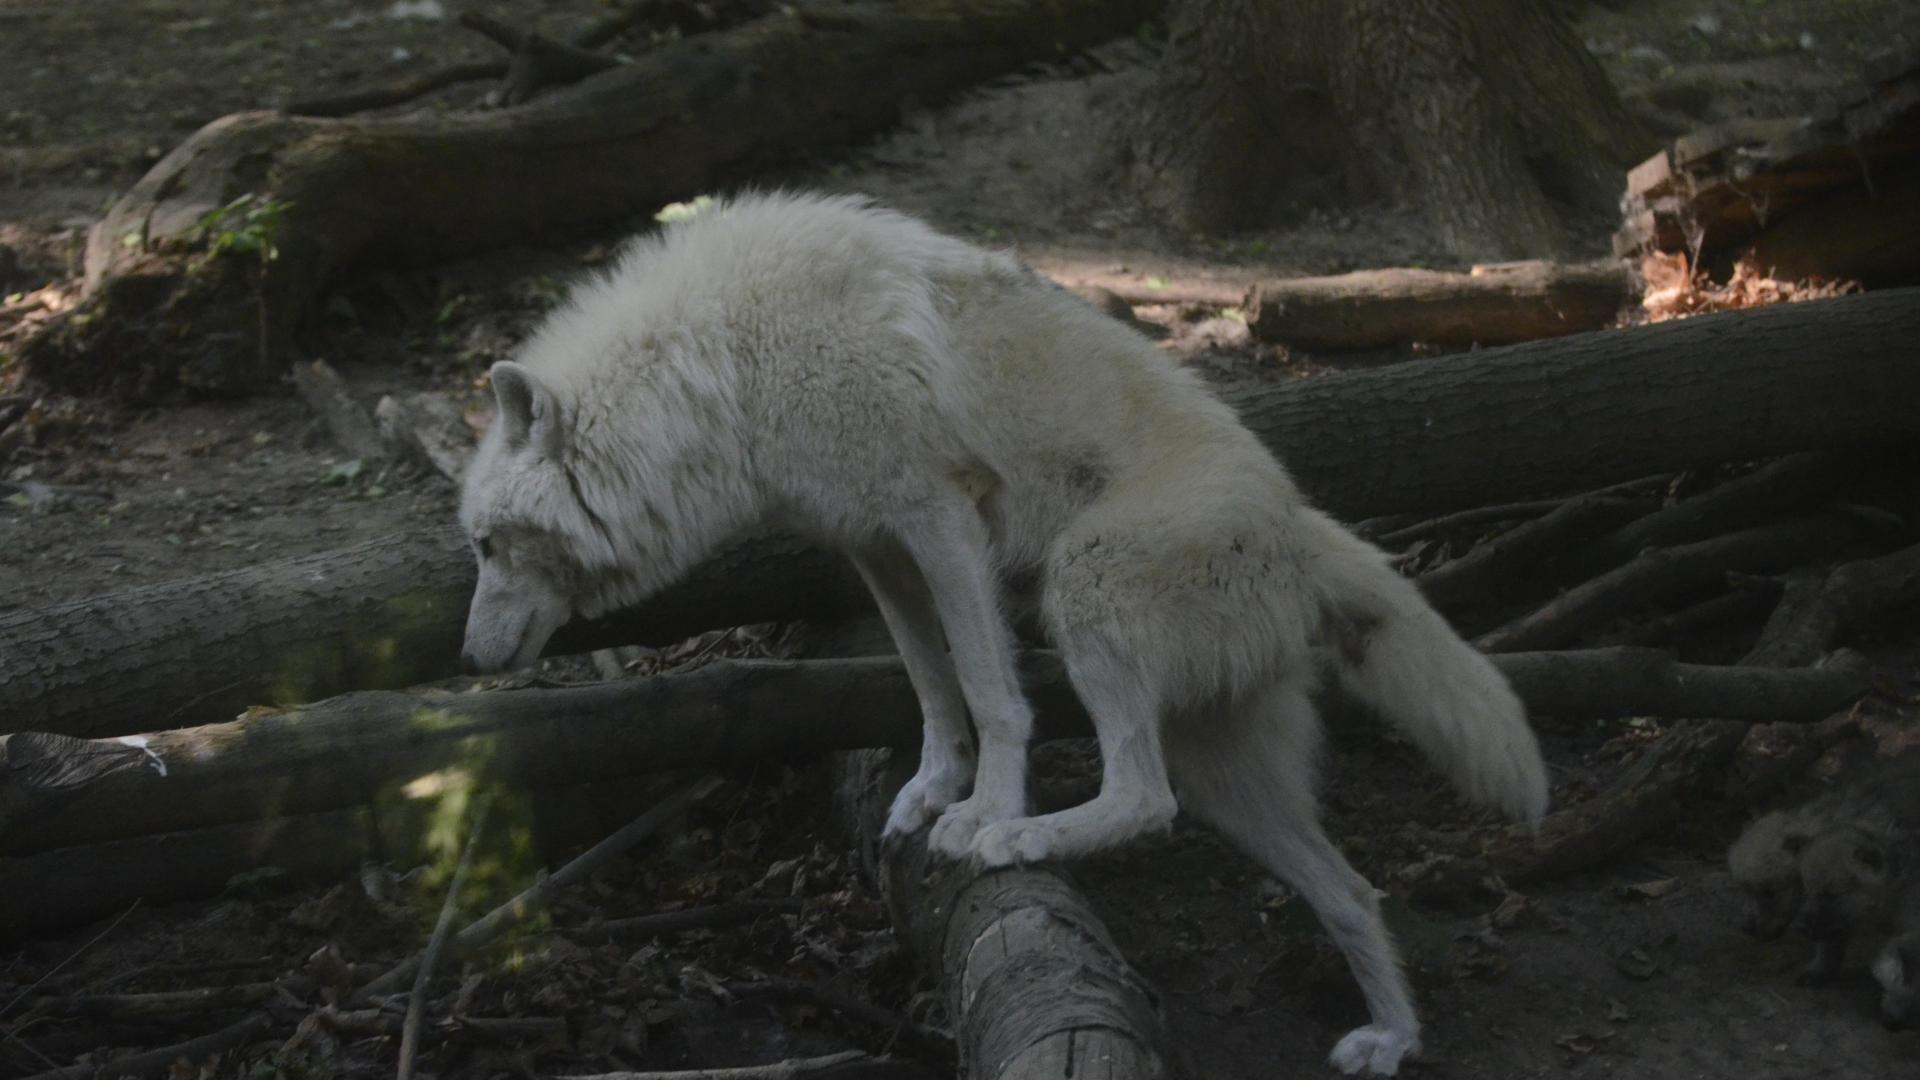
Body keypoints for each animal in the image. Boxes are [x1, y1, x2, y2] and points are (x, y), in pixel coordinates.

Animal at [457, 192, 1549, 1076]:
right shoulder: (873, 545)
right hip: (1230, 781)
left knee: (1143, 798)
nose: (469, 658)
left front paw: (982, 809)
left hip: (1082, 583)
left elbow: (992, 690)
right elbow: (928, 681)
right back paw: (1392, 1040)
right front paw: (929, 791)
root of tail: (1301, 531)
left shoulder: (939, 516)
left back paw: (1024, 837)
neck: (721, 366)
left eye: (483, 545)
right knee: (1351, 889)